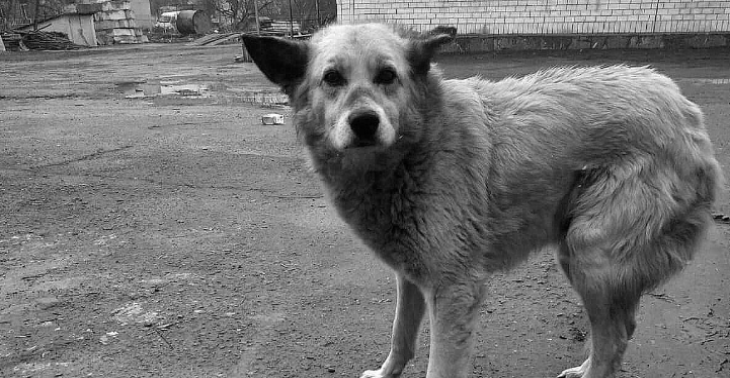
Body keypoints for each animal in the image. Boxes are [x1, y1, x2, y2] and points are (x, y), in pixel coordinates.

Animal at [242, 24, 720, 378]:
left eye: (387, 76)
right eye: (332, 79)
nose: (364, 122)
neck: (416, 149)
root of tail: (685, 109)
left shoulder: (454, 290)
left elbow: (439, 366)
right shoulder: (411, 276)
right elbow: (400, 336)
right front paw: (385, 373)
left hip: (589, 255)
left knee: (615, 338)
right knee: (621, 329)